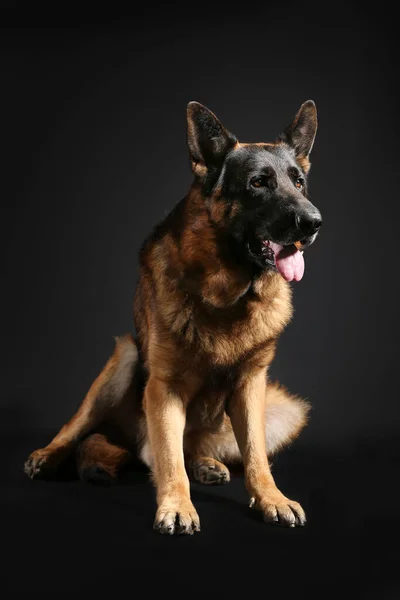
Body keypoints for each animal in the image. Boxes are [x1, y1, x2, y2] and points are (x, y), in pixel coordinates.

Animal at [24, 99, 322, 536]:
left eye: (298, 183)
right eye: (258, 183)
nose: (313, 223)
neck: (229, 298)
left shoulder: (251, 386)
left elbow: (256, 456)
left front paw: (271, 498)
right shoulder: (164, 388)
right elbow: (168, 459)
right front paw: (177, 506)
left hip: (283, 408)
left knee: (187, 448)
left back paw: (206, 463)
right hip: (124, 358)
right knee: (99, 435)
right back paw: (48, 455)